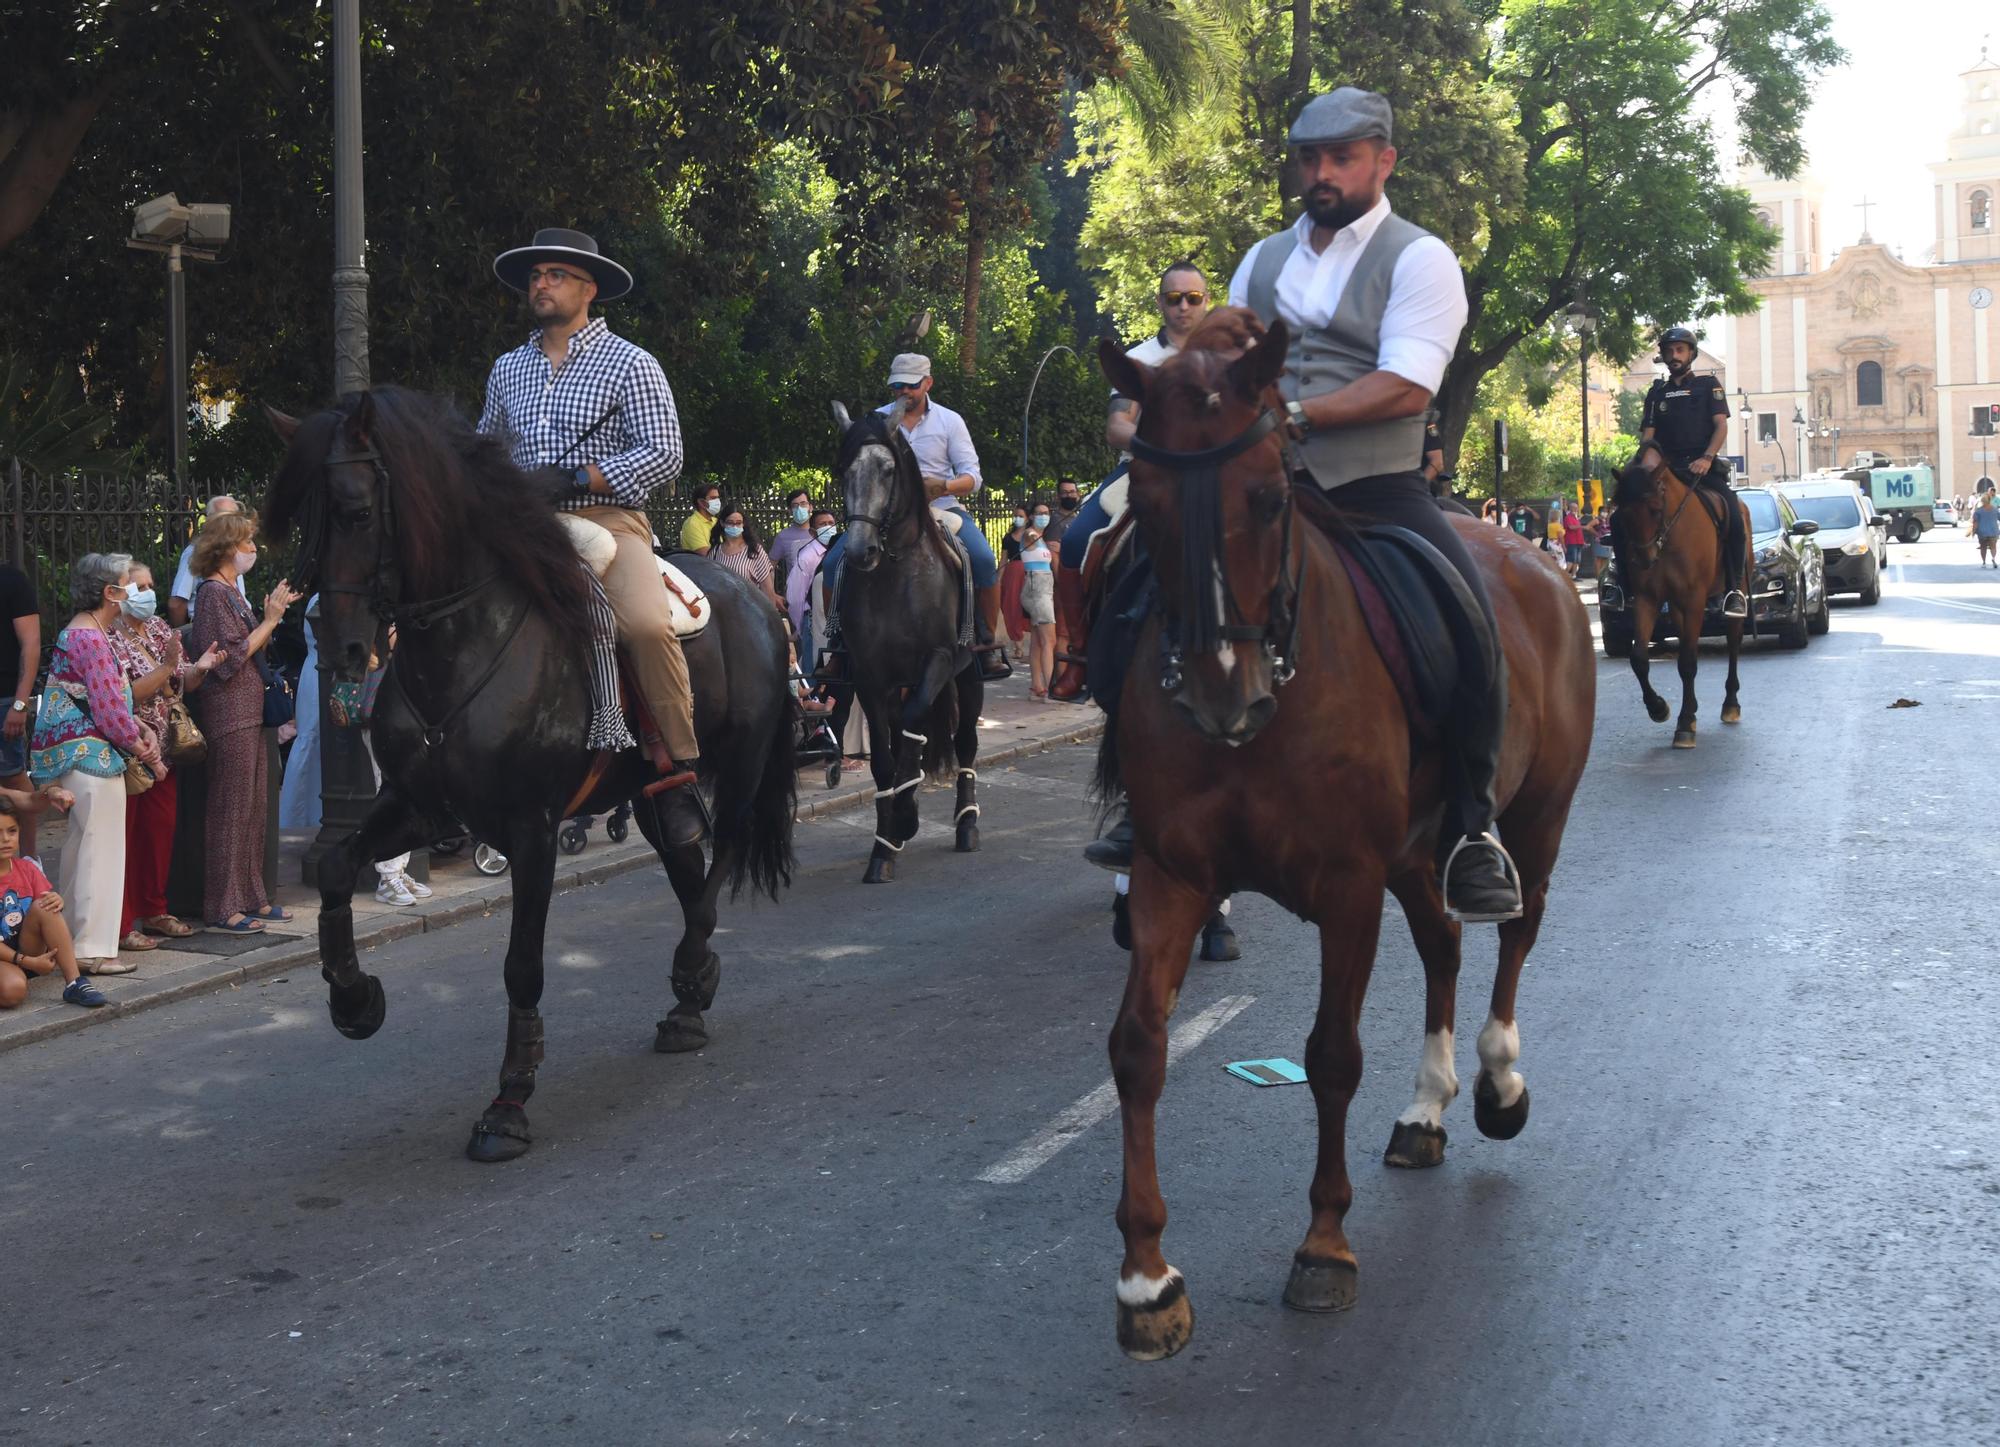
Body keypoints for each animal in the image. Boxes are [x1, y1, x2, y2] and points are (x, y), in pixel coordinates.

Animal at [266, 387, 796, 1167]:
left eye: (357, 511)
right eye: (307, 518)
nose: (339, 648)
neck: (464, 641)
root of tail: (760, 599)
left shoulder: (532, 830)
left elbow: (522, 964)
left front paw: (509, 1102)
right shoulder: (420, 805)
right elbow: (335, 864)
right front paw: (354, 999)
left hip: (741, 763)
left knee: (719, 855)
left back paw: (692, 967)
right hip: (651, 793)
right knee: (684, 858)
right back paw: (689, 994)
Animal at [828, 401, 984, 887]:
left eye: (888, 469)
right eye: (843, 470)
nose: (859, 552)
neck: (895, 572)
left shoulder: (938, 660)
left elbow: (916, 728)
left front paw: (907, 815)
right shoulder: (869, 676)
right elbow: (883, 756)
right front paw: (885, 845)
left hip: (969, 675)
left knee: (965, 741)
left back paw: (967, 823)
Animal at [1096, 311, 1592, 1359]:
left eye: (1268, 495)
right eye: (1144, 502)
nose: (1221, 693)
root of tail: (1540, 555)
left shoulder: (1346, 883)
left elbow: (1330, 1054)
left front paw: (1323, 1245)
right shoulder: (1171, 874)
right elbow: (1139, 1047)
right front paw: (1147, 1277)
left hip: (1536, 817)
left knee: (1514, 932)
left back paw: (1496, 1081)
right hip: (1415, 850)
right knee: (1444, 944)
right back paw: (1426, 1106)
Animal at [1608, 449, 1752, 747]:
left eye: (1655, 508)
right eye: (1622, 514)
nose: (1644, 559)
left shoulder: (1694, 598)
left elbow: (1686, 661)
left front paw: (1685, 723)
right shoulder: (1648, 599)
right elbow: (1639, 658)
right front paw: (1658, 707)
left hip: (1735, 588)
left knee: (1733, 642)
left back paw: (1730, 703)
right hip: (1675, 606)